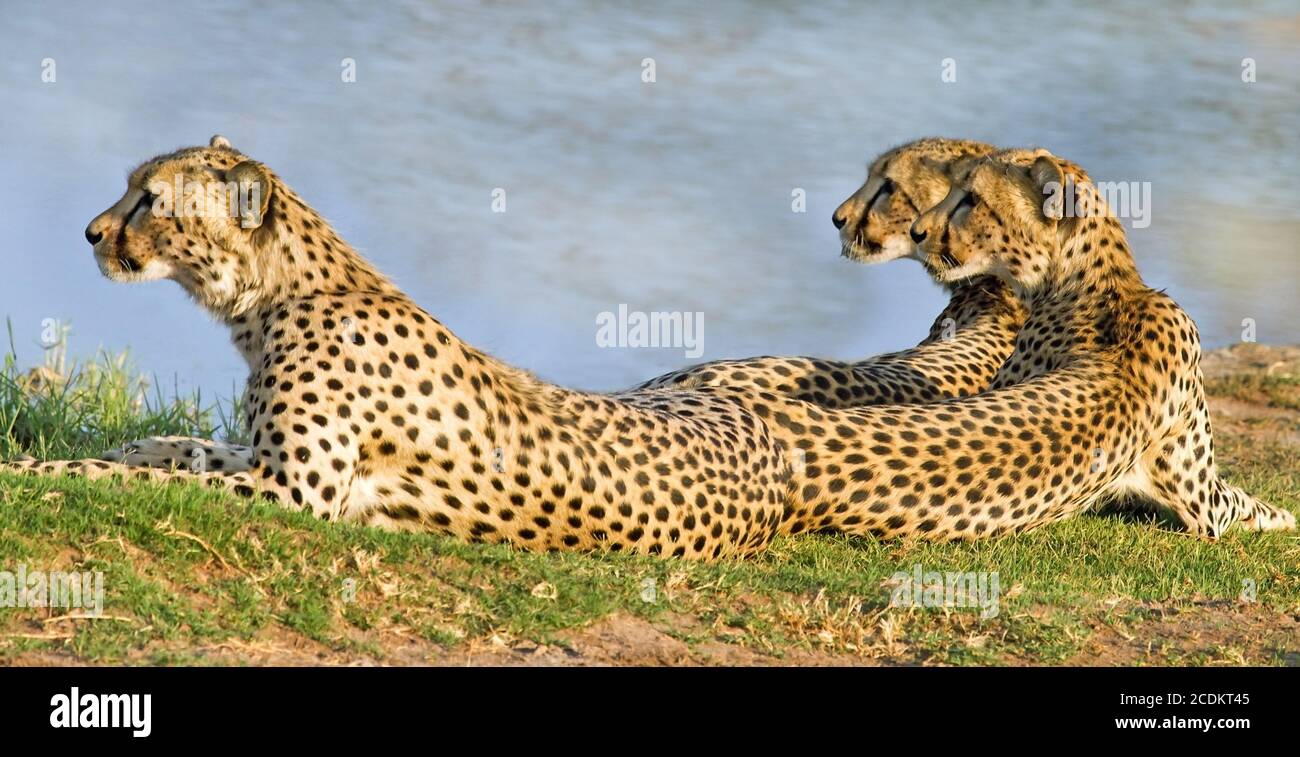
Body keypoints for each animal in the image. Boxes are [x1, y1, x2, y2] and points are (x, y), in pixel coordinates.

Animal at [5, 139, 790, 561]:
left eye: (150, 198)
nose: (90, 233)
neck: (275, 298)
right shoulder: (266, 461)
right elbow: (180, 449)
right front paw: (133, 446)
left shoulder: (294, 491)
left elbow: (139, 481)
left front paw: (37, 470)